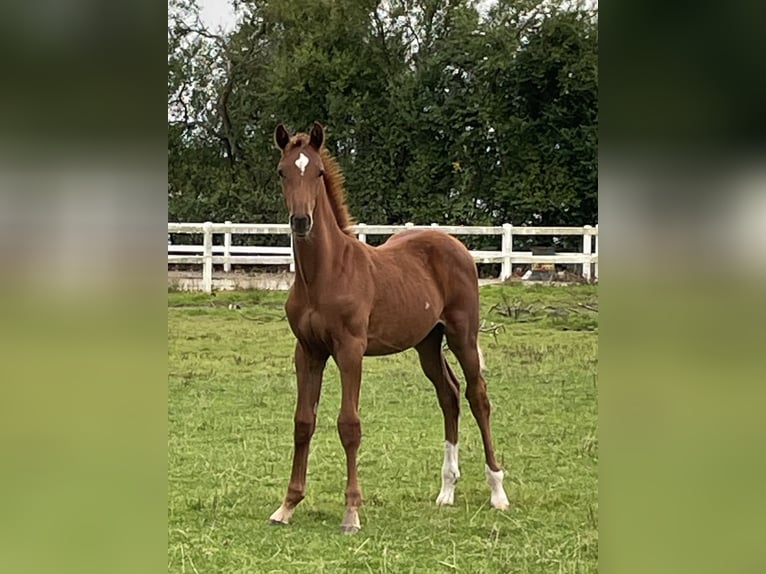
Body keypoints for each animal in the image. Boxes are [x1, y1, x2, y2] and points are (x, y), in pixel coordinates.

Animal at [270, 121, 510, 536]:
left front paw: (351, 512)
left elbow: (349, 424)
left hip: (462, 335)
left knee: (477, 396)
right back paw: (446, 490)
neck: (325, 274)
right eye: (284, 172)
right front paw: (287, 505)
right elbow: (303, 421)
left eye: (318, 172)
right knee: (449, 395)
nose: (301, 221)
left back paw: (497, 491)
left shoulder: (350, 350)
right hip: (428, 342)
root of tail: (455, 245)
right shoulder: (308, 351)